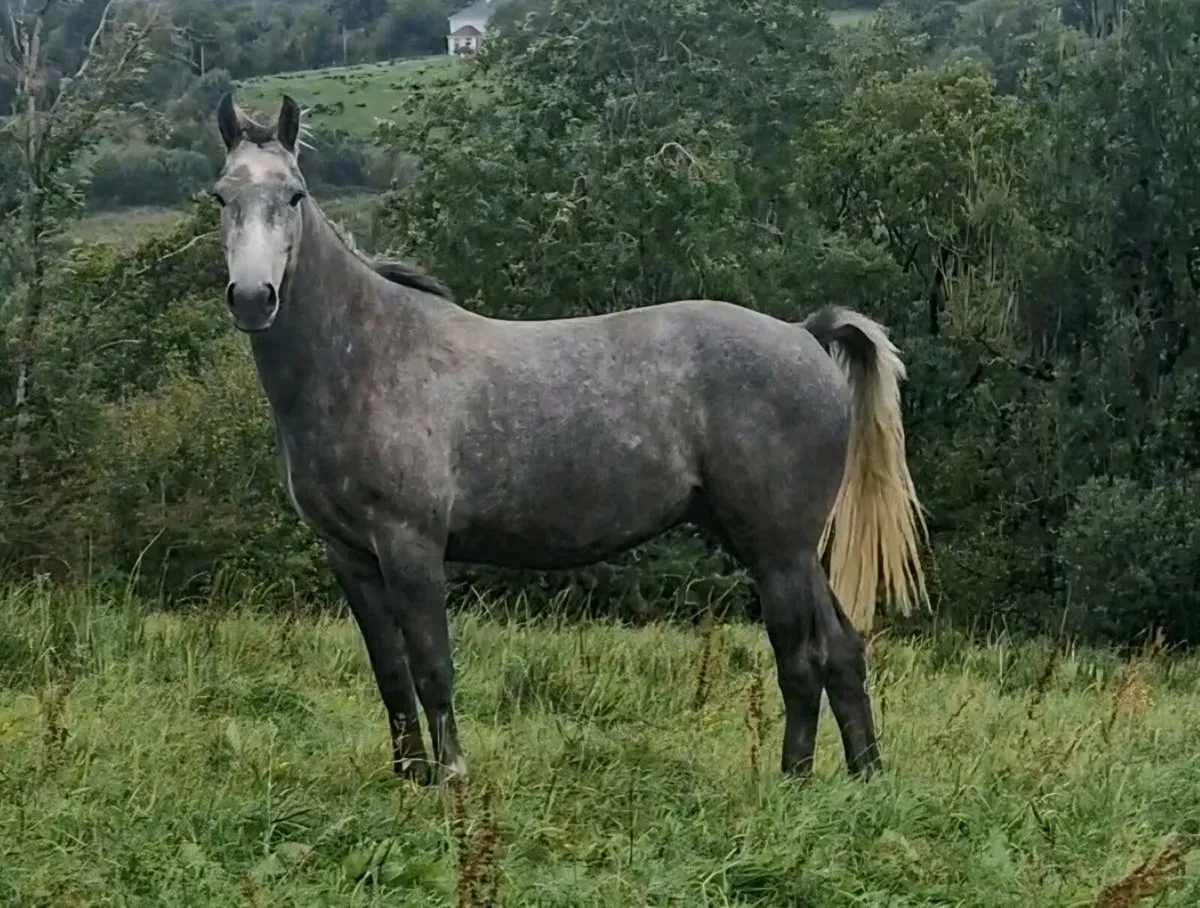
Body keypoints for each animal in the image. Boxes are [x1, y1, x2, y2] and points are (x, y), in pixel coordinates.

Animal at [211, 92, 929, 783]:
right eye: (222, 196)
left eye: (294, 195)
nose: (252, 297)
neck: (367, 353)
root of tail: (804, 332)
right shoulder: (350, 555)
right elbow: (390, 673)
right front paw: (408, 780)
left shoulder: (411, 547)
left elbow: (432, 666)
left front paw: (451, 780)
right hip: (774, 545)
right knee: (841, 649)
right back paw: (865, 778)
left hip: (777, 548)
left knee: (801, 657)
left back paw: (791, 783)